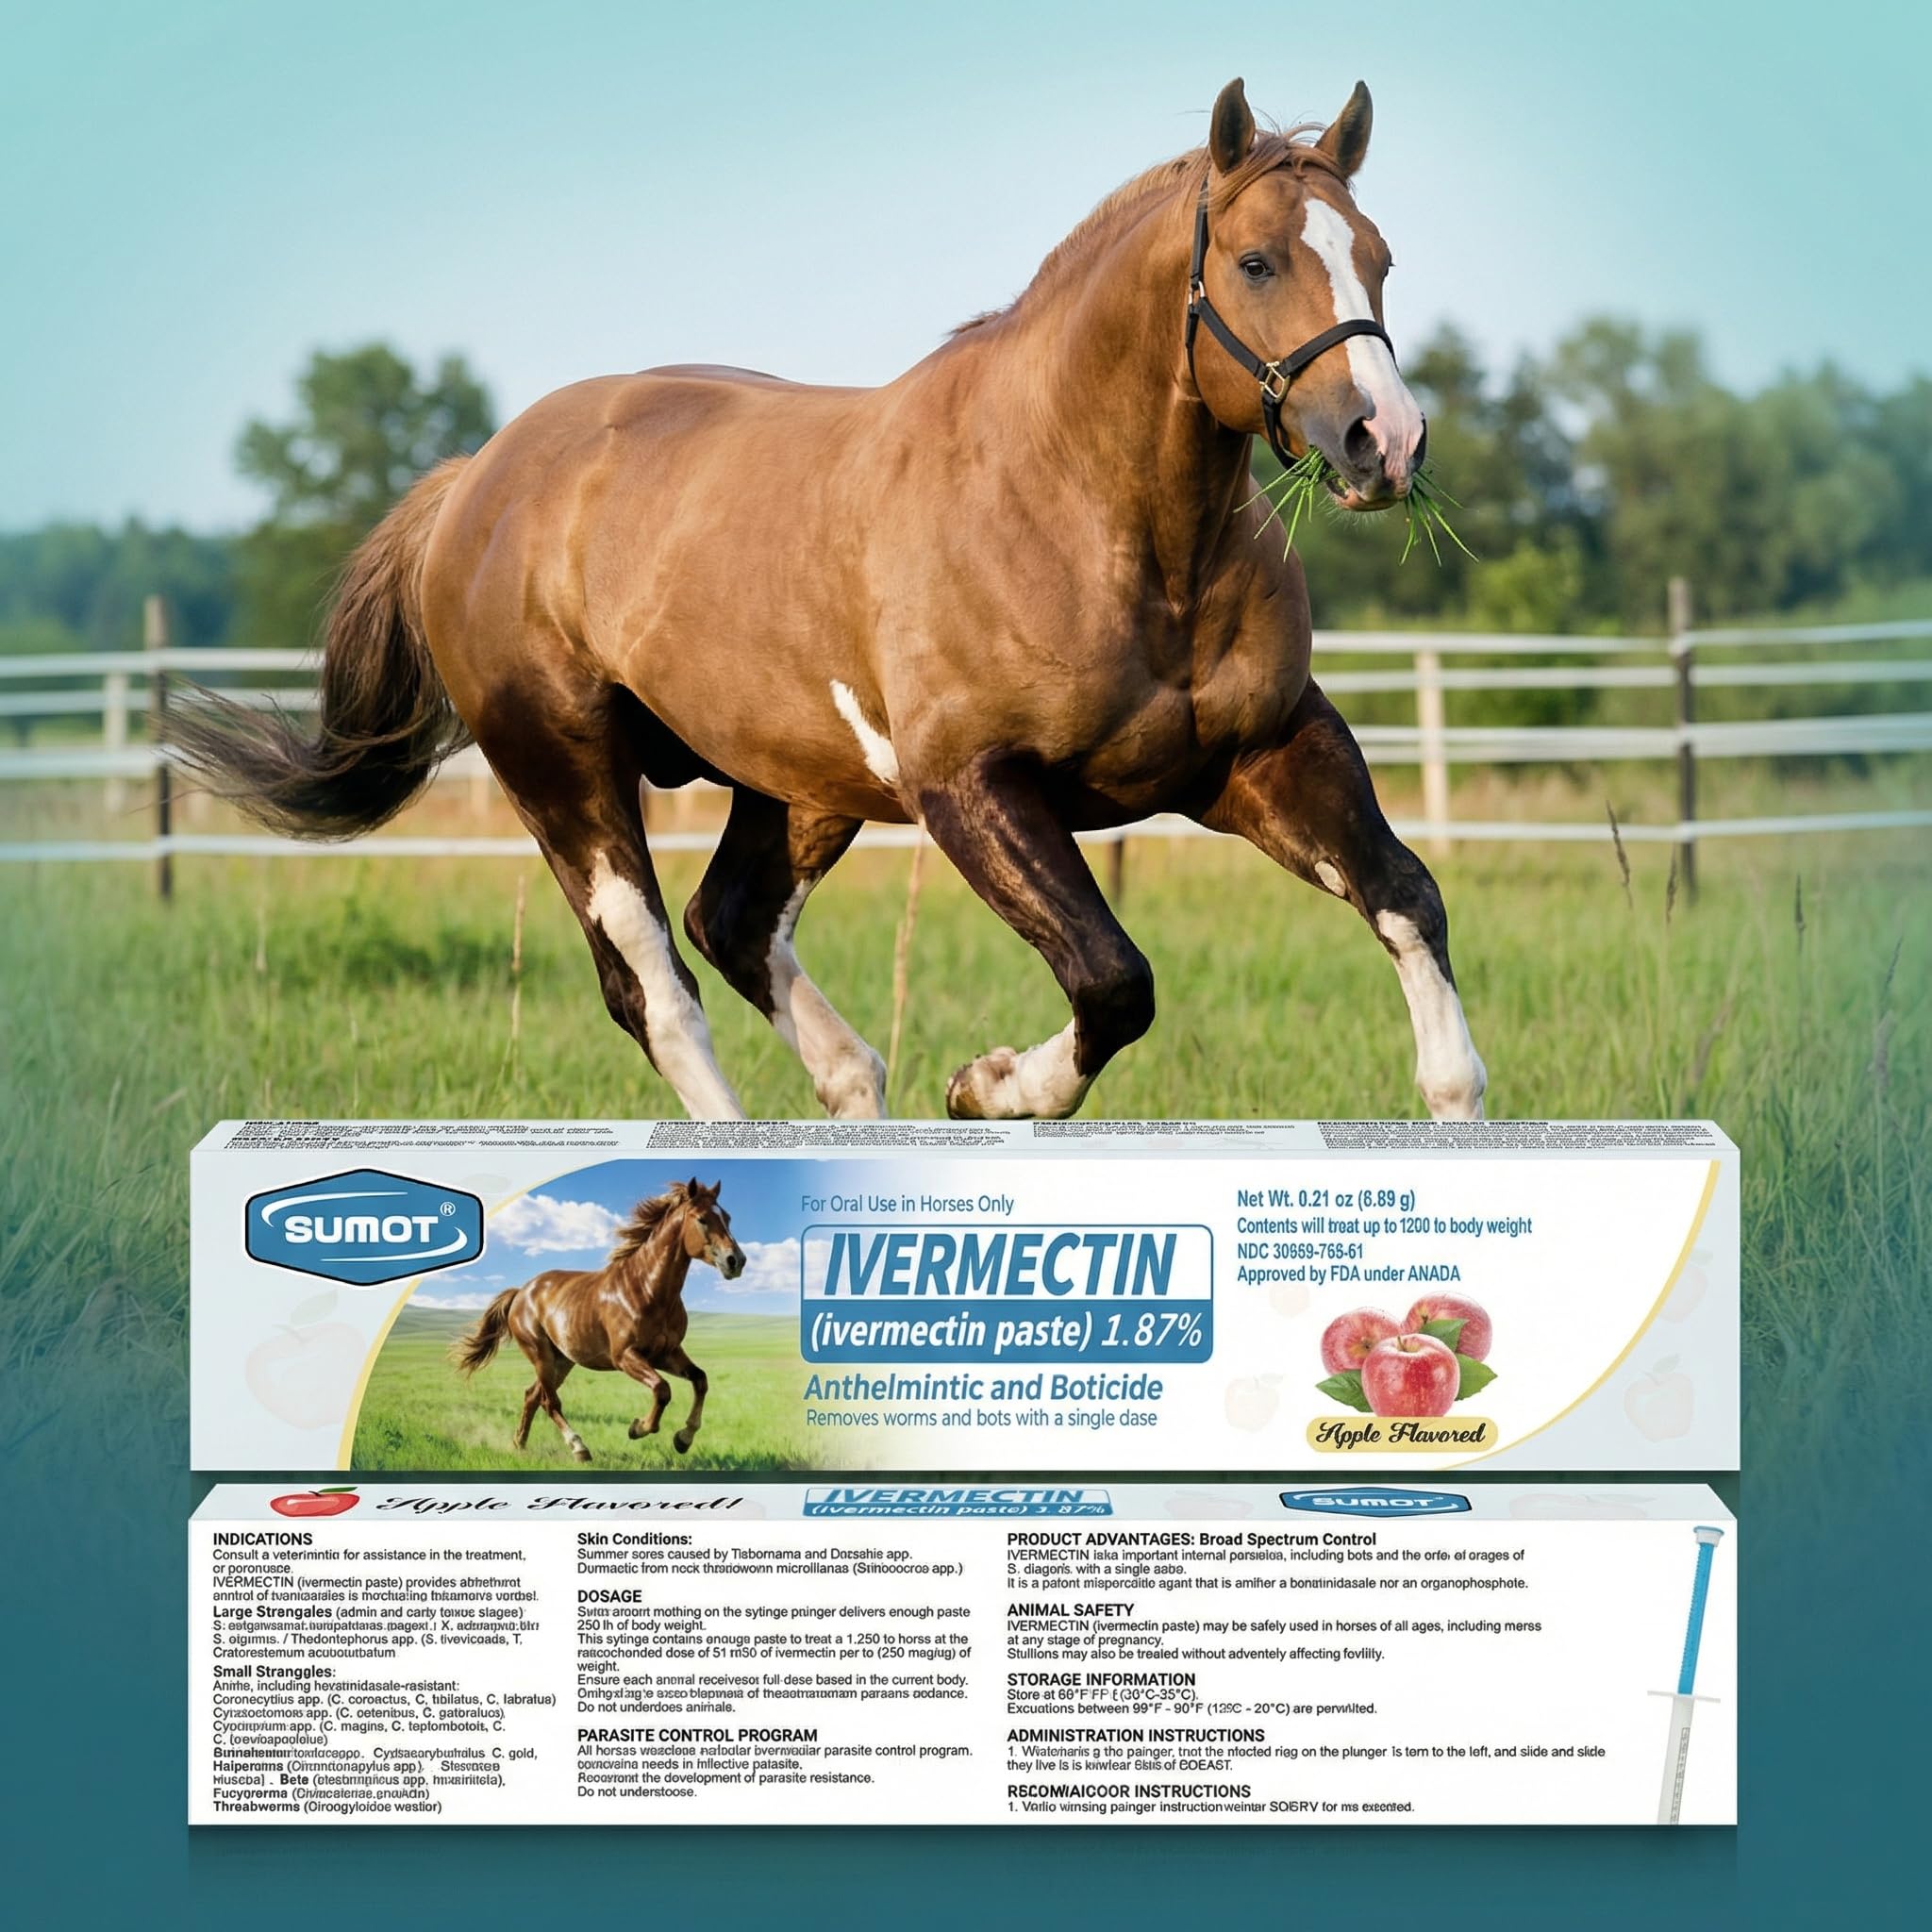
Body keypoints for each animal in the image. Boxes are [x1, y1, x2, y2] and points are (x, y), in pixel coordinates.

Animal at [176, 75, 1487, 1125]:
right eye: (1257, 261)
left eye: (1377, 257)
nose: (1383, 440)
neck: (1090, 515)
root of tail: (475, 479)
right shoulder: (971, 788)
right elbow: (1113, 980)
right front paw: (988, 1085)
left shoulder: (1265, 752)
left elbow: (1407, 900)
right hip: (563, 773)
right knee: (655, 985)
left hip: (795, 782)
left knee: (734, 922)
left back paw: (853, 1090)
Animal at [453, 1178, 745, 1461]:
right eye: (702, 1219)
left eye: (728, 1217)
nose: (736, 1261)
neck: (647, 1289)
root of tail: (521, 1292)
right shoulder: (625, 1356)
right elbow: (662, 1389)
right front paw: (638, 1428)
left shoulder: (667, 1353)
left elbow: (700, 1380)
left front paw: (683, 1439)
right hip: (541, 1355)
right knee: (549, 1401)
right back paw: (579, 1448)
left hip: (563, 1360)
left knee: (532, 1396)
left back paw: (519, 1445)